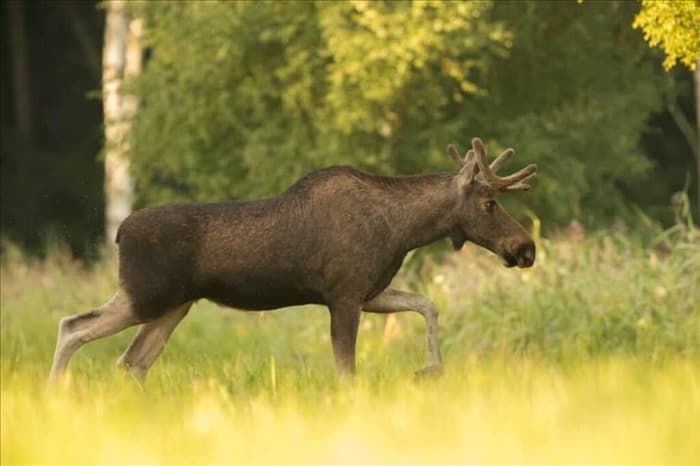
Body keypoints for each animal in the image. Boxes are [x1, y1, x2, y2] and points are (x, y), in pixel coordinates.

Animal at [49, 136, 540, 382]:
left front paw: (431, 368)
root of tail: (118, 232)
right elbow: (347, 371)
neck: (404, 231)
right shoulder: (344, 295)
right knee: (73, 327)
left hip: (174, 305)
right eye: (490, 203)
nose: (526, 248)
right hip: (145, 294)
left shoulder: (369, 292)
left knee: (132, 362)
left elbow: (427, 303)